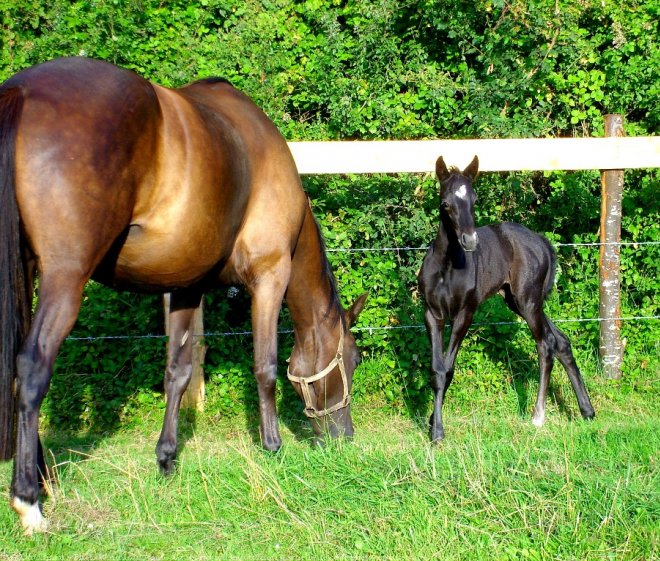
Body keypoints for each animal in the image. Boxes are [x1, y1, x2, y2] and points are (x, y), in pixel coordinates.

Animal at [0, 57, 366, 532]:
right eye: (353, 361)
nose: (345, 436)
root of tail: (21, 91)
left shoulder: (186, 286)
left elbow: (178, 371)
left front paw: (167, 459)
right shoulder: (269, 275)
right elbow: (265, 366)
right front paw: (273, 446)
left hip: (27, 274)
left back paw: (42, 477)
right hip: (64, 277)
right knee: (31, 369)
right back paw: (29, 500)